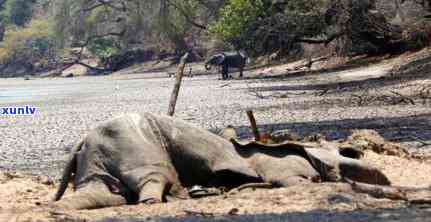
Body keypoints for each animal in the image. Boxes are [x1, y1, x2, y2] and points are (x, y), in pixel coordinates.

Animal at [54, 112, 392, 210]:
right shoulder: (280, 164)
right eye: (347, 152)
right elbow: (293, 180)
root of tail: (83, 141)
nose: (357, 150)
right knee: (153, 180)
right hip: (138, 147)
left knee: (108, 193)